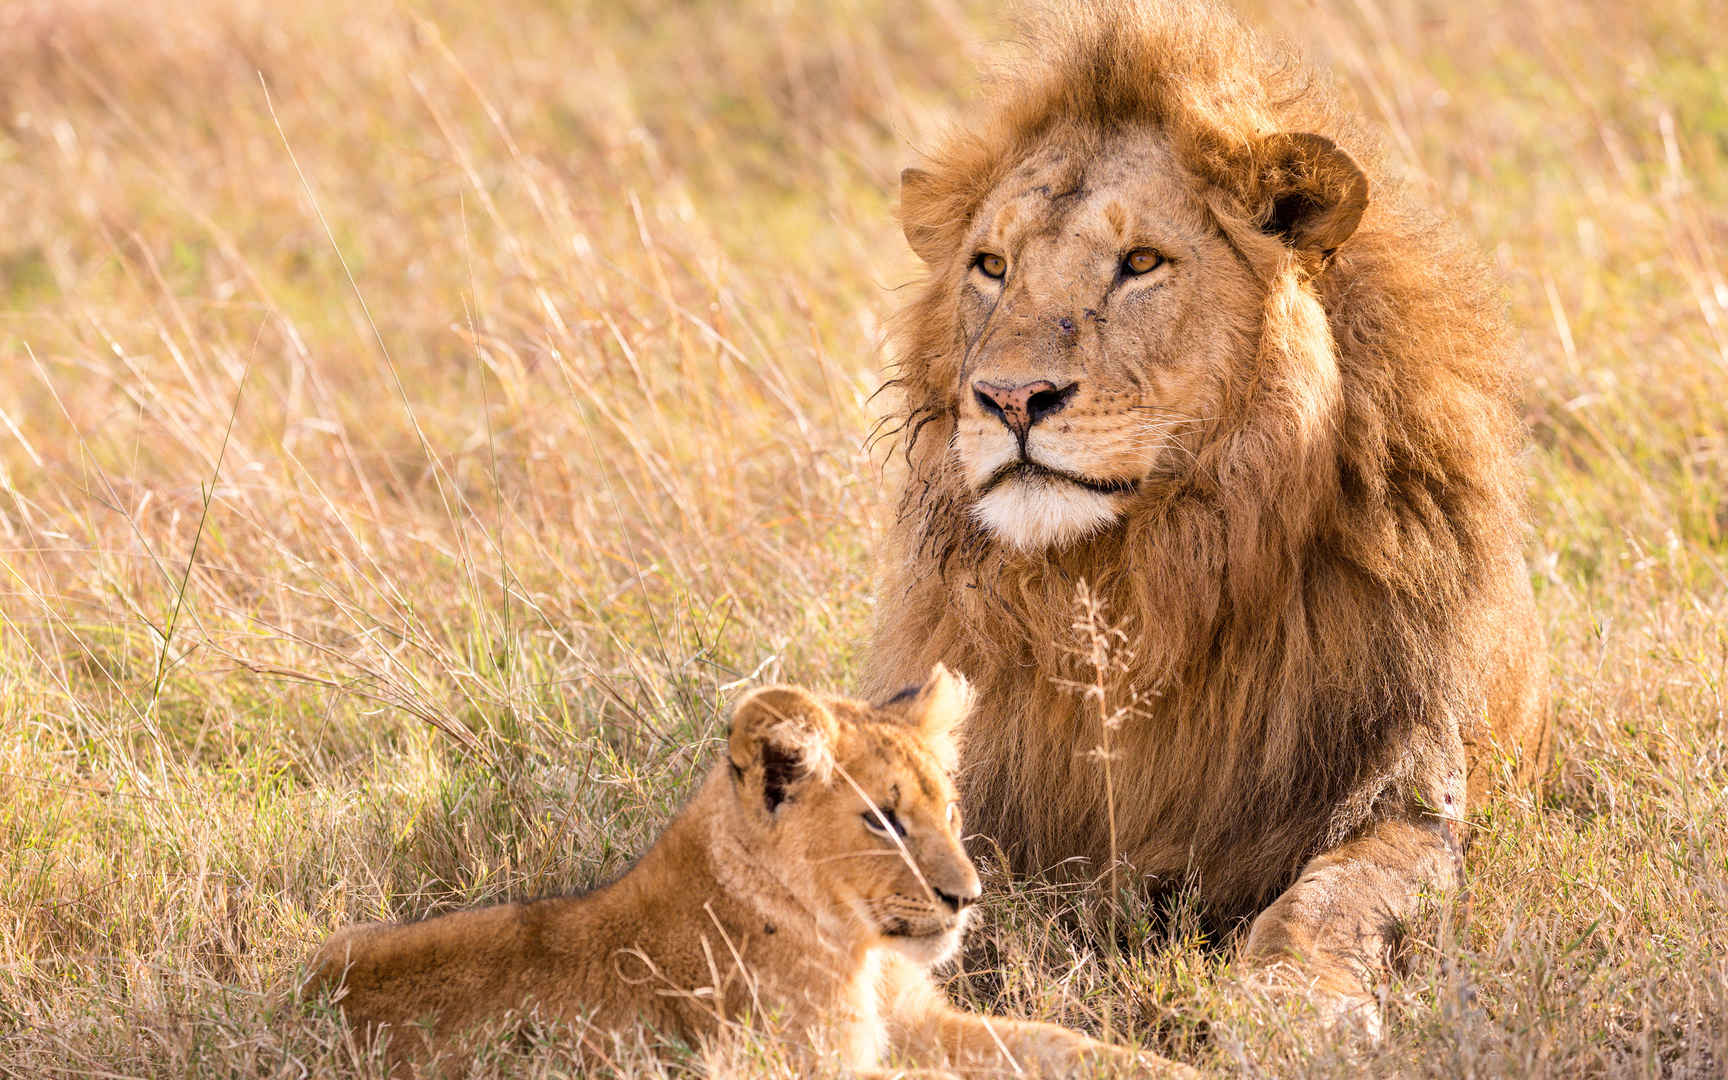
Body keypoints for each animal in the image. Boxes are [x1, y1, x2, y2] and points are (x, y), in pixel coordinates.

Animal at [307, 670, 1188, 1071]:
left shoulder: (917, 1025)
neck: (860, 951)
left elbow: (1061, 1045)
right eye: (882, 821)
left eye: (949, 808)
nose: (967, 898)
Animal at [864, 0, 1555, 1029]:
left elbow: (1335, 897)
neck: (1134, 582)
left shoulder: (1407, 786)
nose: (1010, 397)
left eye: (1141, 262)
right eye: (990, 266)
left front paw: (1293, 1009)